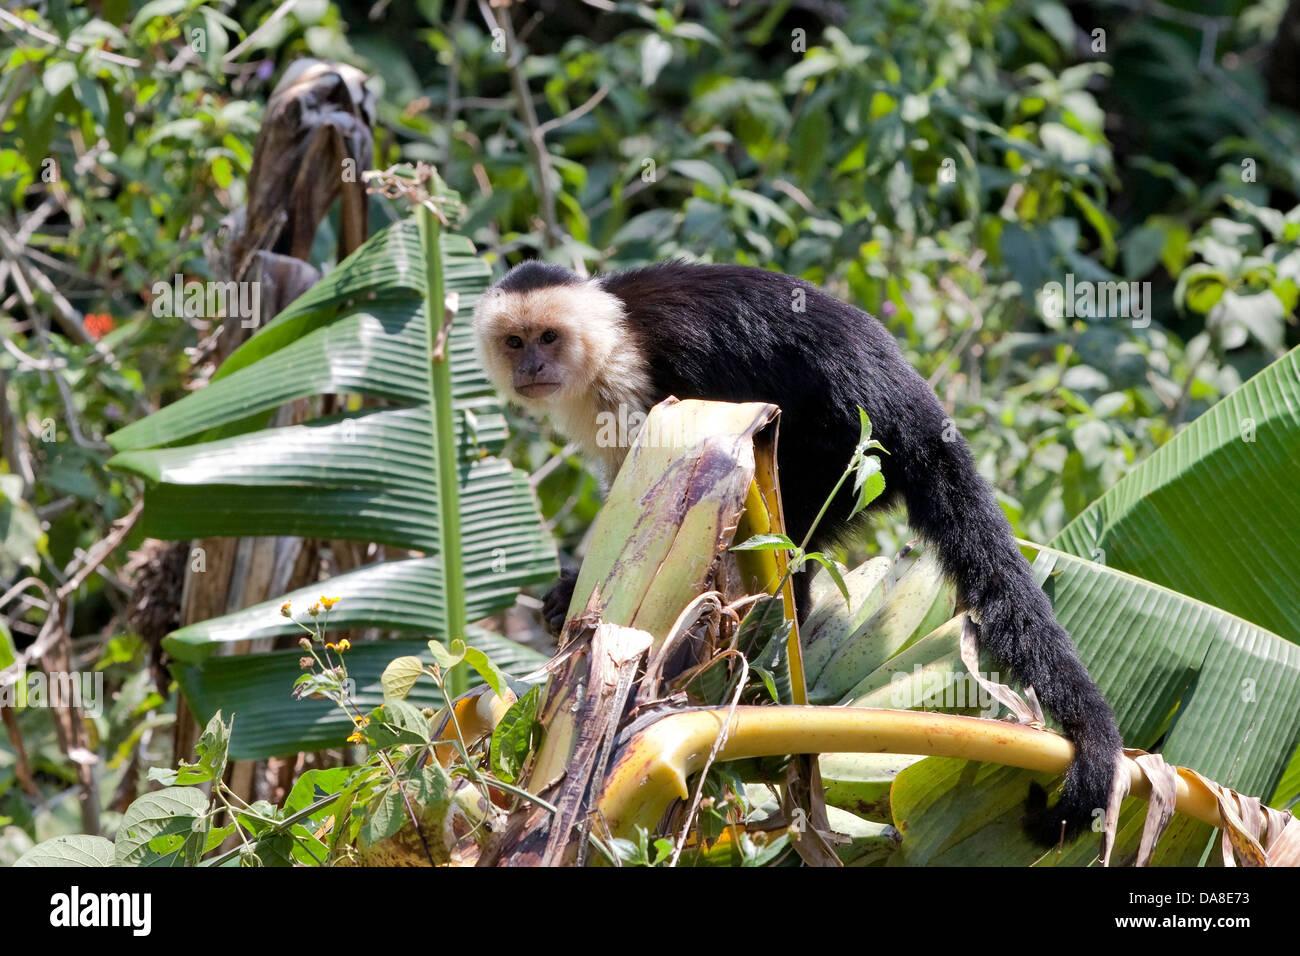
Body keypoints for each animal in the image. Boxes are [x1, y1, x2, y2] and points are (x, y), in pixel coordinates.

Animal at [473, 256, 1123, 842]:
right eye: (515, 341)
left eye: (549, 337)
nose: (532, 364)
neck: (607, 338)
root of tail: (915, 401)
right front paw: (567, 594)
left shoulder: (629, 379)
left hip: (849, 446)